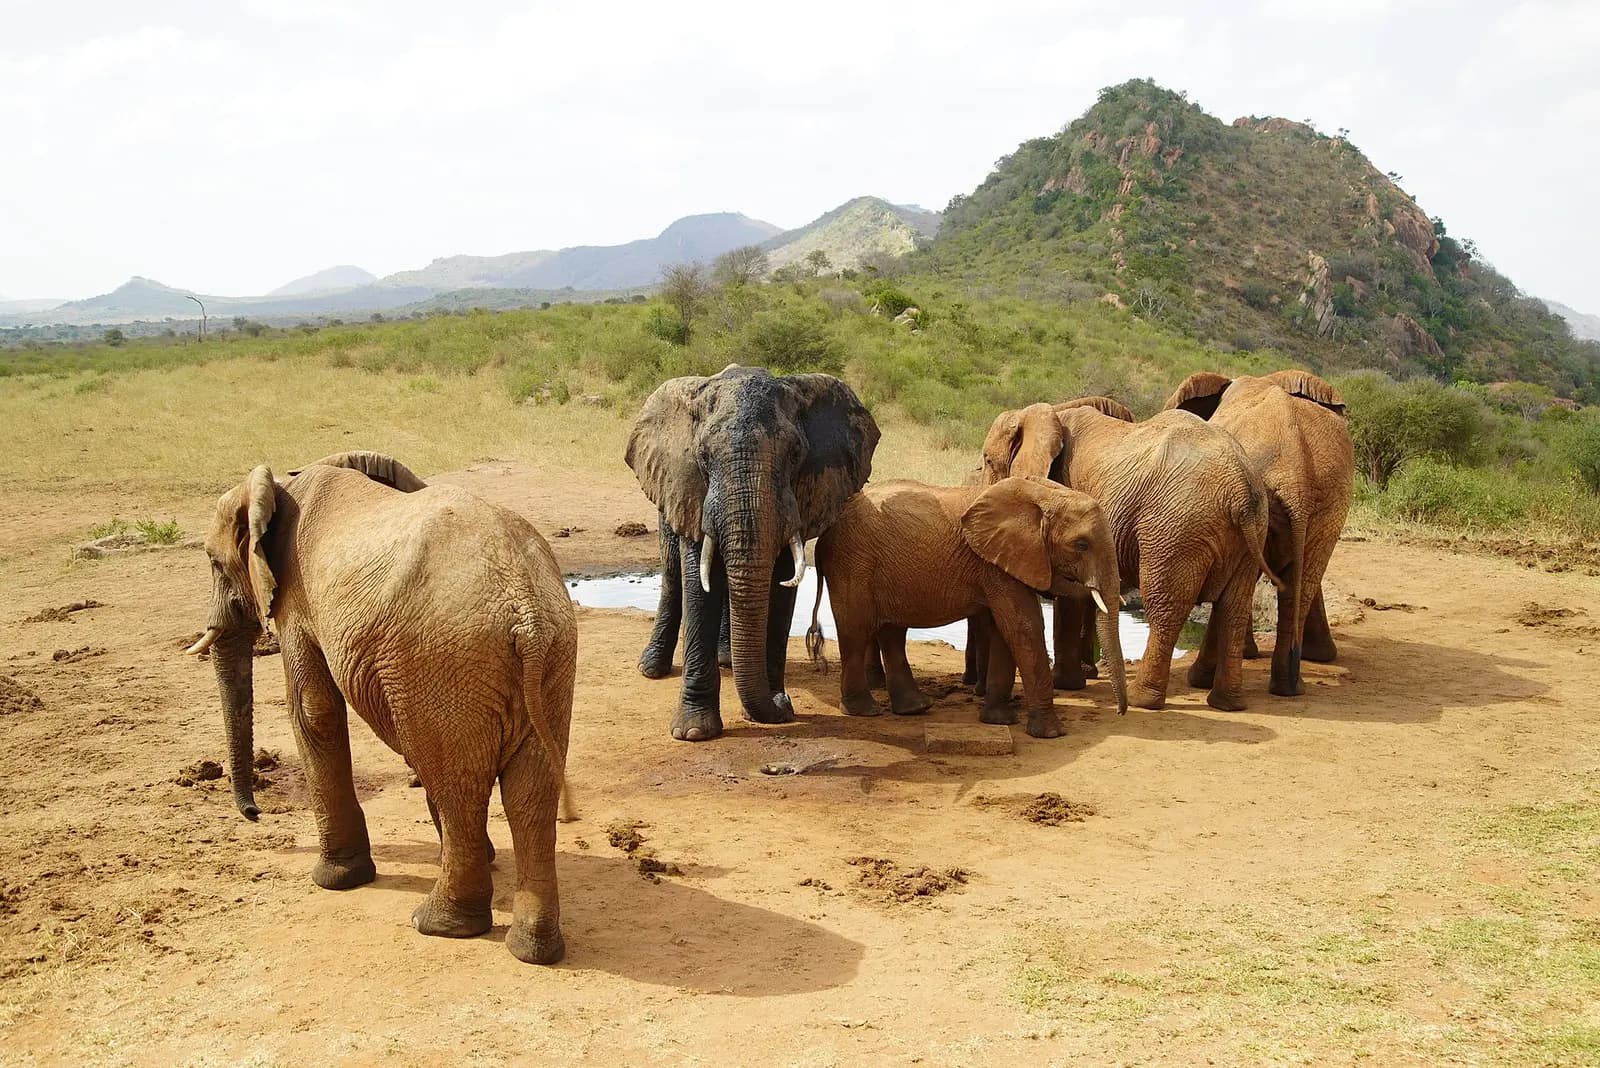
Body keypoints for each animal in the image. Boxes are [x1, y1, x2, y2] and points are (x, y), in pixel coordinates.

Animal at [184, 451, 576, 965]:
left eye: (214, 562)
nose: (254, 814)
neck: (284, 482)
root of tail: (524, 608)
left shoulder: (297, 602)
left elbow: (311, 711)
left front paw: (335, 880)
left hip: (444, 658)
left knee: (460, 786)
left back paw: (436, 925)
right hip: (544, 658)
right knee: (528, 793)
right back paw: (532, 950)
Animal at [626, 365, 880, 742]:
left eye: (795, 455)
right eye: (703, 456)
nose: (784, 702)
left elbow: (781, 584)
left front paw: (774, 710)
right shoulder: (692, 489)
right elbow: (697, 582)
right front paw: (693, 732)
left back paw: (727, 659)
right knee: (673, 575)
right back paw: (652, 668)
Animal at [807, 476, 1127, 739]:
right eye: (1082, 545)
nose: (1121, 712)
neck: (1043, 494)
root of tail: (823, 537)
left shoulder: (1002, 561)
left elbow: (1003, 630)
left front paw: (999, 721)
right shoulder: (997, 564)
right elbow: (1023, 627)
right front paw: (1050, 734)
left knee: (892, 630)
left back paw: (915, 708)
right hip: (852, 564)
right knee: (856, 631)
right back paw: (864, 711)